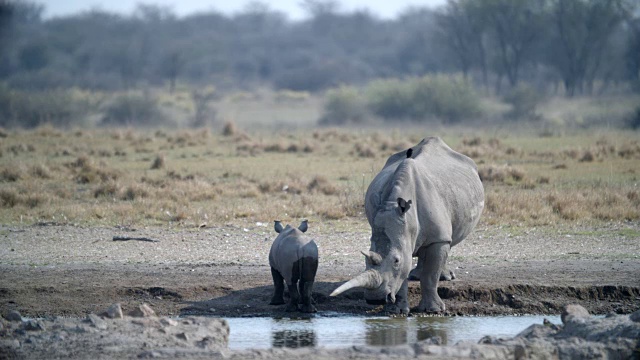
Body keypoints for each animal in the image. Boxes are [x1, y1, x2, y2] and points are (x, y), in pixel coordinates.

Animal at [332, 136, 482, 314]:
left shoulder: (437, 238)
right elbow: (401, 275)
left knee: (447, 242)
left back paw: (445, 277)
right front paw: (397, 311)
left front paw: (433, 310)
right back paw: (415, 276)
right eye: (365, 260)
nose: (375, 300)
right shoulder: (401, 235)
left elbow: (430, 275)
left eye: (396, 260)